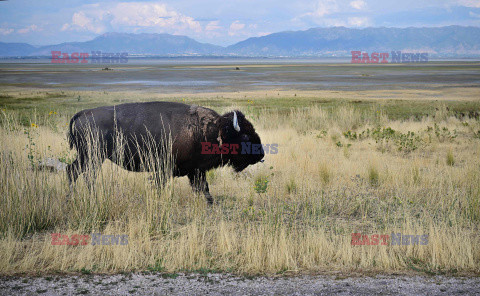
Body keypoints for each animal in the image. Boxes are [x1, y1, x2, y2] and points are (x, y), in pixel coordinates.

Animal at [65, 102, 264, 204]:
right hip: (92, 156)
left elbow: (204, 188)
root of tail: (82, 114)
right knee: (82, 173)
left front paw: (210, 203)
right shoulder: (165, 169)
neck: (214, 130)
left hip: (88, 157)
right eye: (245, 135)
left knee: (74, 171)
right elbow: (160, 185)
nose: (261, 154)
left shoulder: (196, 170)